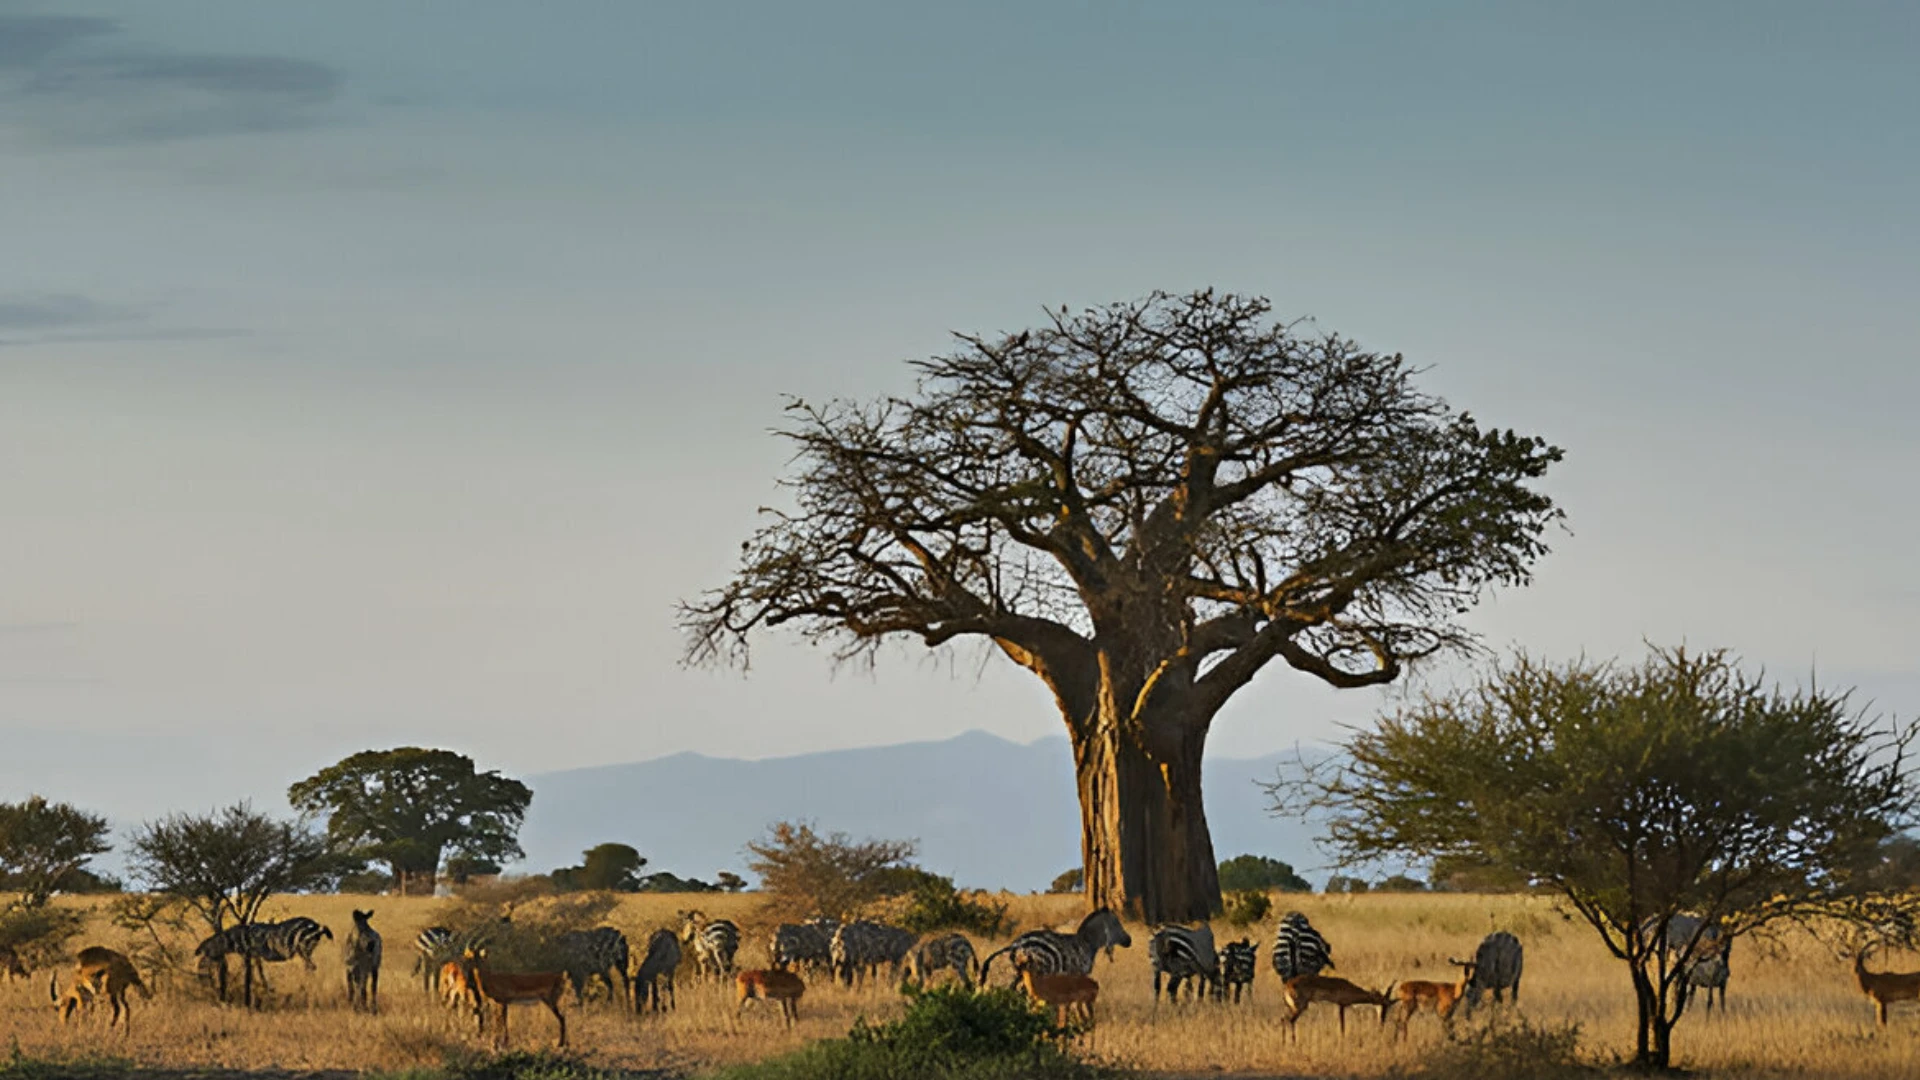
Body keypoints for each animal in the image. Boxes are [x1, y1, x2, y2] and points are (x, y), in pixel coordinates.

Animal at [983, 899, 1128, 983]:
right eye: (1117, 924)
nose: (1129, 940)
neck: (1086, 942)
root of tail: (1014, 945)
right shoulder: (1078, 974)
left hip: (1018, 975)